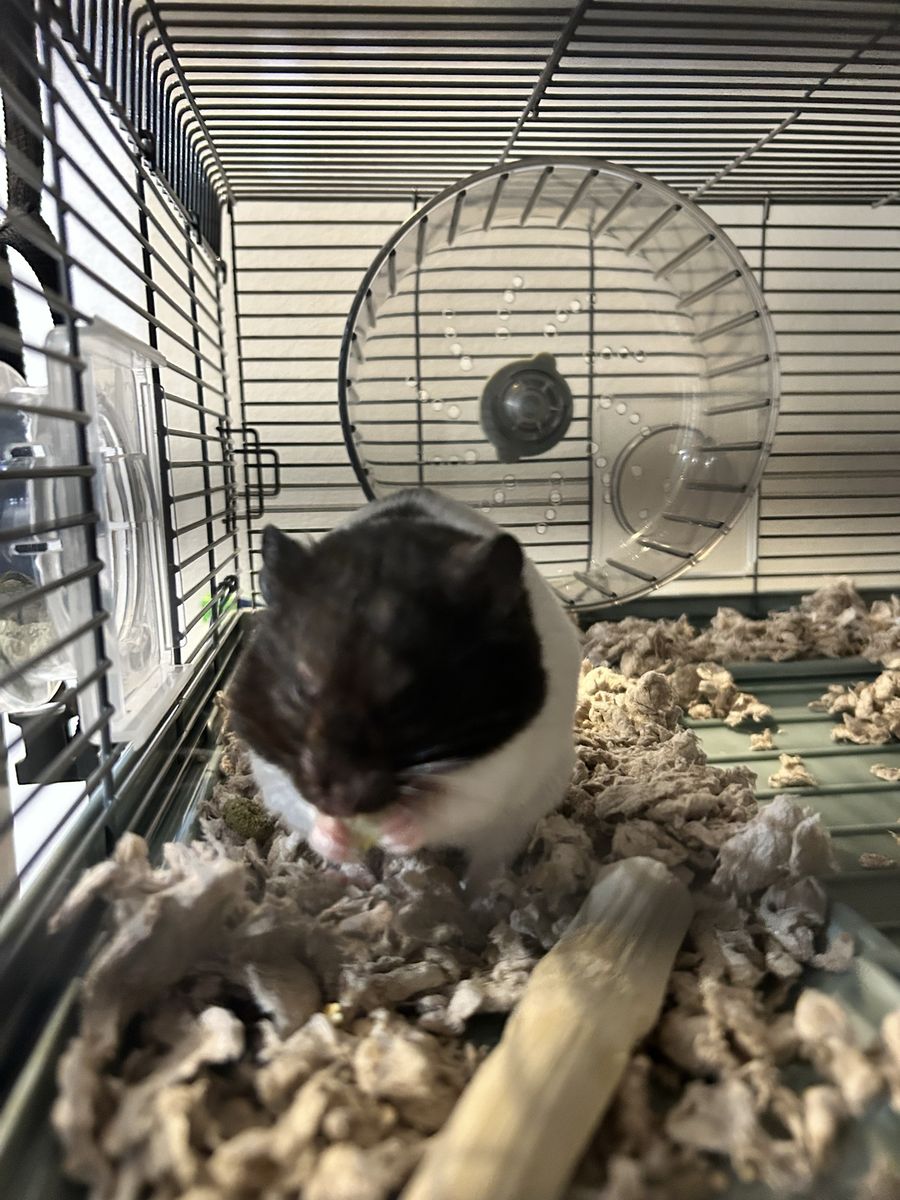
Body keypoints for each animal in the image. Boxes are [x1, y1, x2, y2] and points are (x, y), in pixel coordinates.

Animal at [228, 487, 582, 886]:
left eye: (404, 699)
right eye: (300, 691)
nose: (337, 802)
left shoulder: (501, 764)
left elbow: (454, 802)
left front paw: (397, 828)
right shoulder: (270, 762)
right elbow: (297, 800)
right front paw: (337, 836)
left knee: (490, 858)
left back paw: (478, 893)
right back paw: (358, 875)